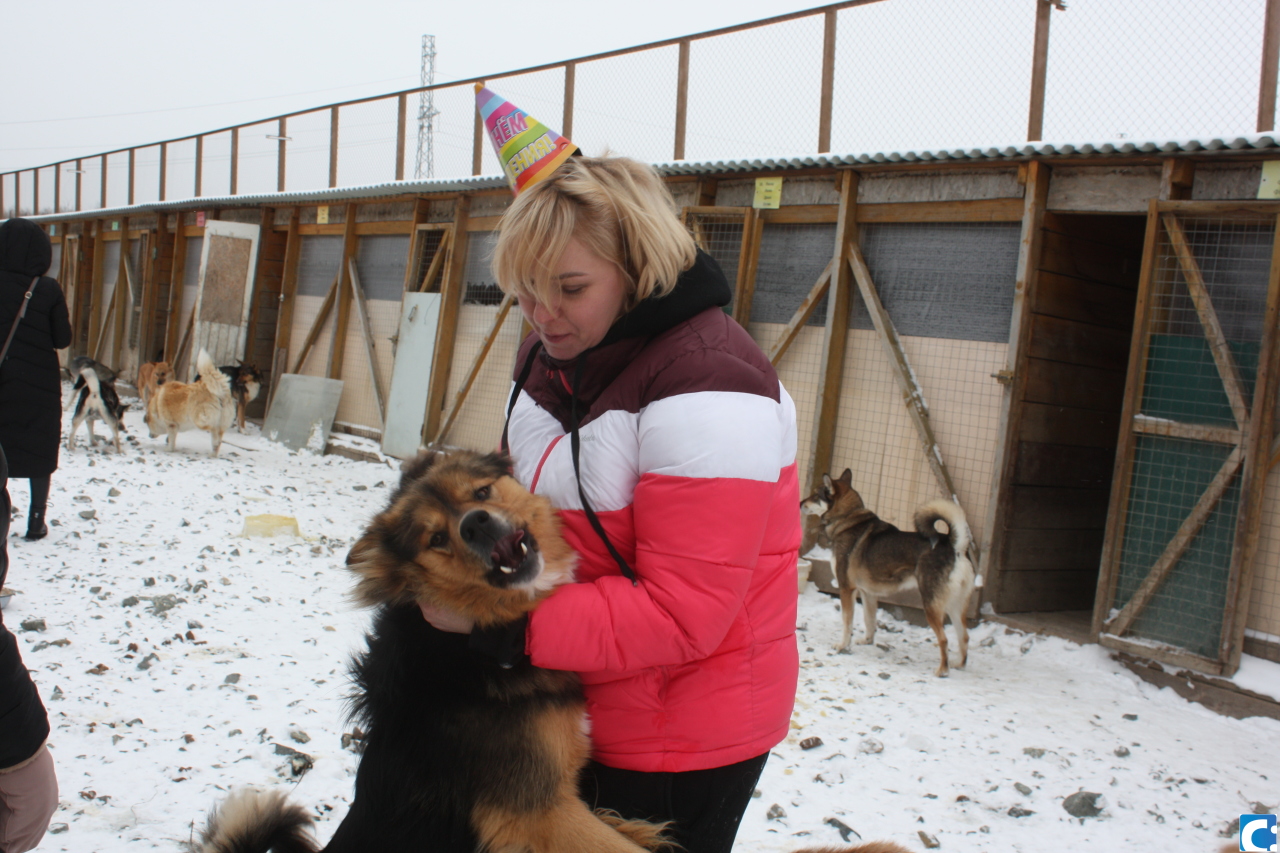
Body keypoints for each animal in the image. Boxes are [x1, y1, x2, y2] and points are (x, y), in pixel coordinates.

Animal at [803, 468, 972, 676]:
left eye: (815, 495)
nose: (800, 503)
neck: (847, 519)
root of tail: (955, 547)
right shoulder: (867, 593)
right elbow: (869, 620)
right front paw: (867, 641)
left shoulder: (846, 589)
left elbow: (847, 622)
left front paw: (843, 645)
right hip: (955, 606)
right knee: (964, 637)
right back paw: (959, 664)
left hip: (931, 605)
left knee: (944, 639)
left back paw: (942, 670)